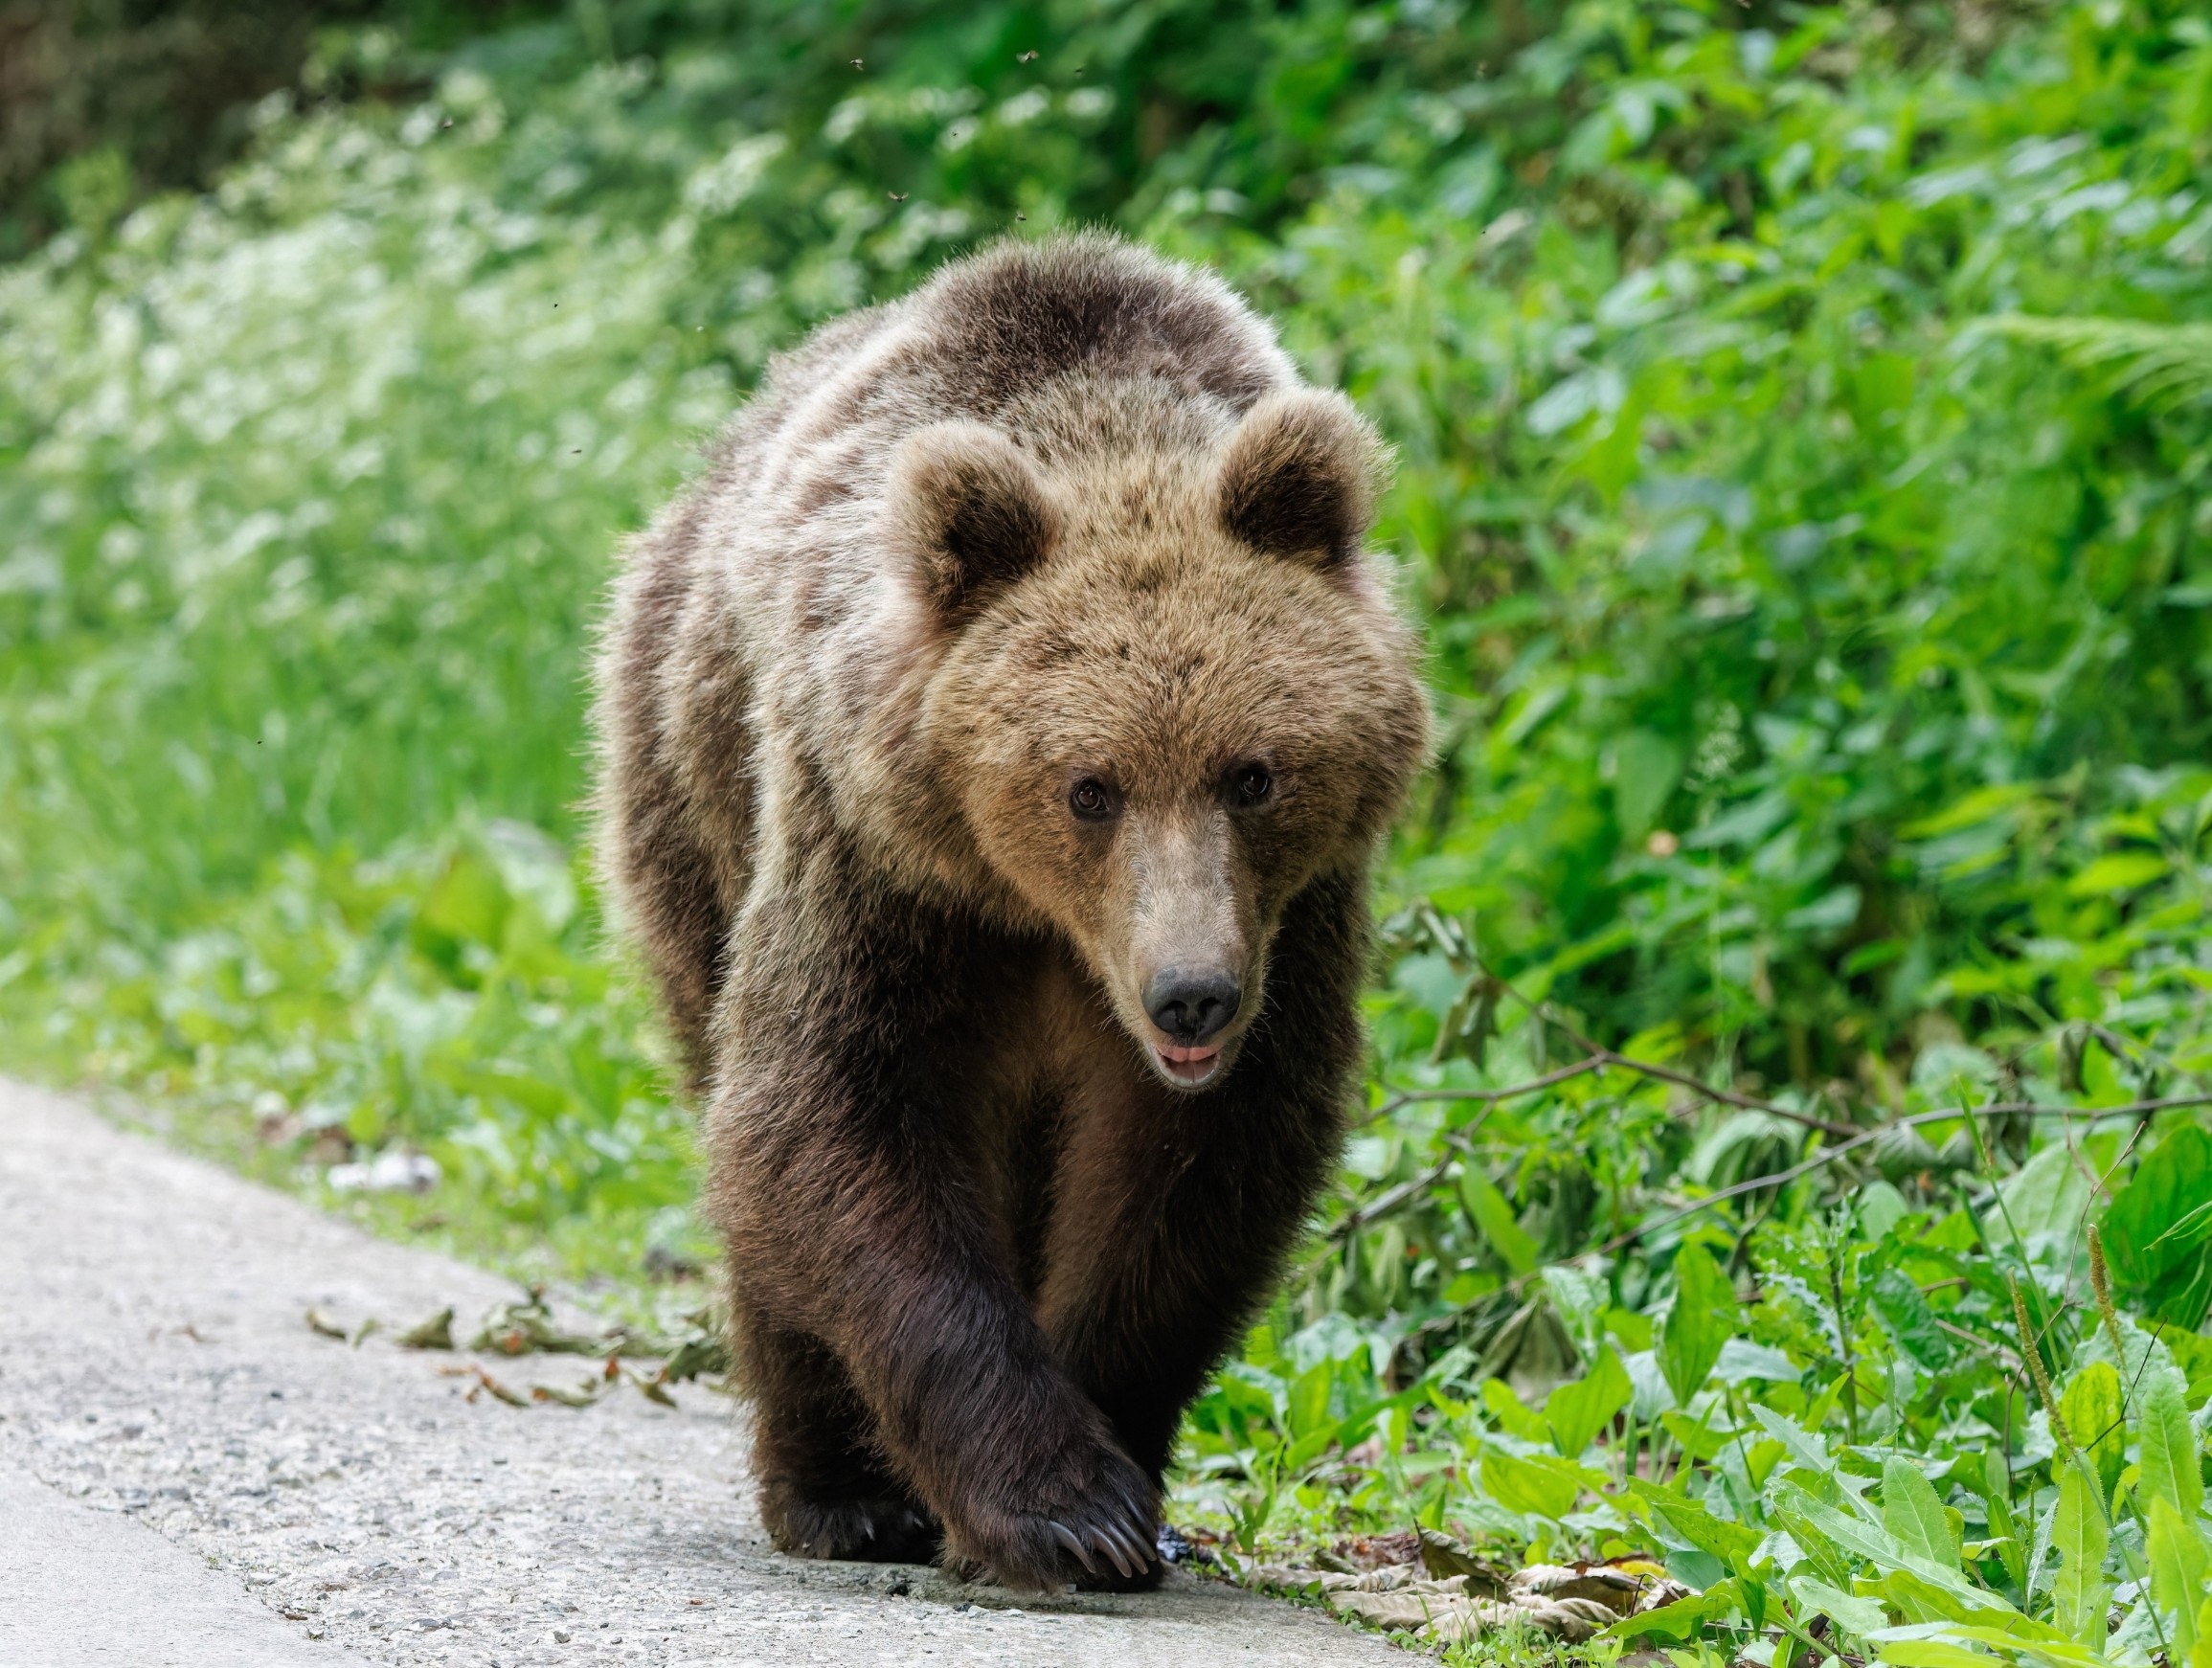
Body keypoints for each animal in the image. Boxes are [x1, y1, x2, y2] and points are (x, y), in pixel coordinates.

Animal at [593, 233, 1428, 1591]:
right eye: (1089, 785)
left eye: (1254, 773)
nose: (1190, 995)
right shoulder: (881, 869)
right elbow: (828, 1113)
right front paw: (1057, 1506)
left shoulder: (1292, 924)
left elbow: (1195, 1173)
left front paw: (1117, 1473)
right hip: (686, 793)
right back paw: (835, 1490)